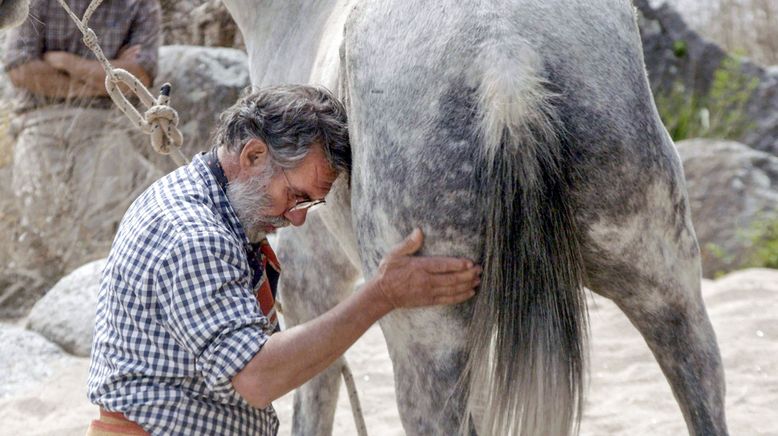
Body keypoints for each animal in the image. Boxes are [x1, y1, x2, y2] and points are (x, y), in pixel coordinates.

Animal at [221, 0, 732, 434]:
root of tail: (504, 57)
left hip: (427, 345)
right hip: (663, 285)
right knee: (700, 376)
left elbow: (316, 390)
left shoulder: (311, 275)